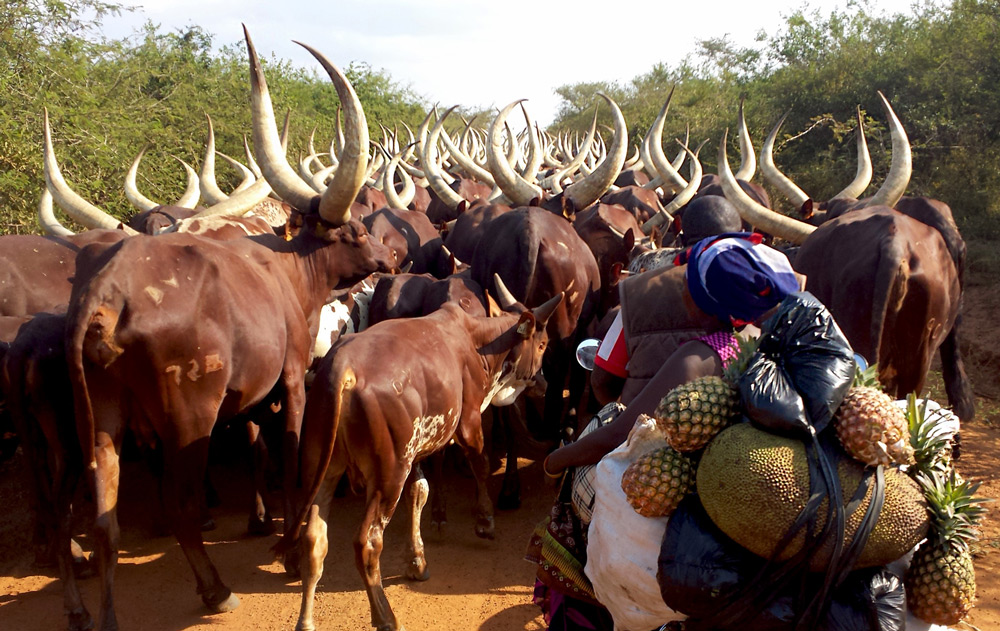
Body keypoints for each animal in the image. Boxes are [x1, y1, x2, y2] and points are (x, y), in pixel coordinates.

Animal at [284, 278, 564, 631]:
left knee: (314, 540)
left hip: (322, 467)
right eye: (542, 345)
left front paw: (417, 559)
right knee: (367, 543)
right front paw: (484, 521)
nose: (543, 382)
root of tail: (343, 370)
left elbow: (419, 492)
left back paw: (305, 619)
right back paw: (386, 617)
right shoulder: (468, 421)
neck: (477, 341)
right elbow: (480, 464)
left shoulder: (417, 452)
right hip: (388, 473)